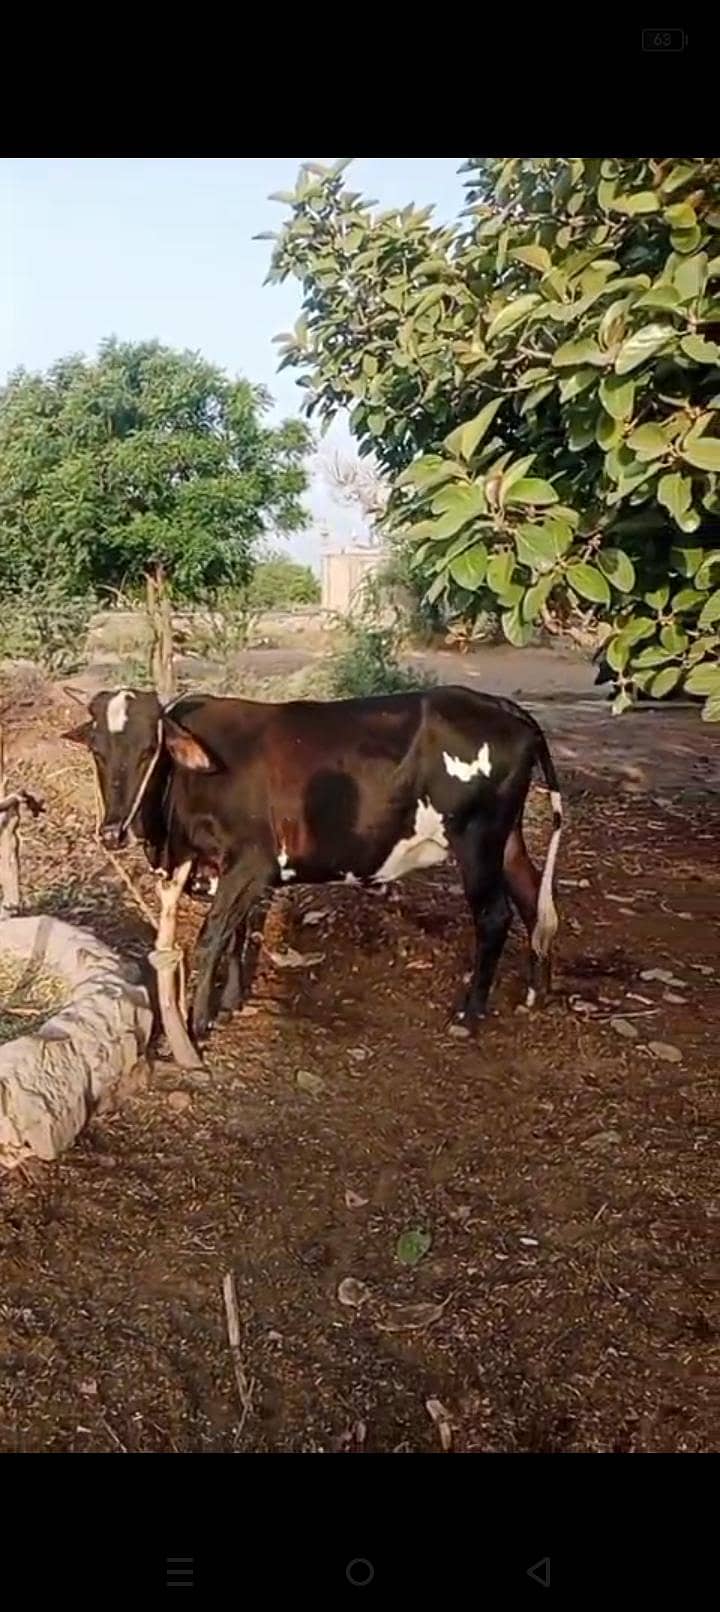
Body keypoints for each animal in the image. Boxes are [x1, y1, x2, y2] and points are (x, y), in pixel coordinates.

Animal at [63, 685, 563, 1044]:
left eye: (150, 750)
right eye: (96, 751)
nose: (112, 831)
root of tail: (501, 706)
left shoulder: (249, 861)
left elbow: (213, 937)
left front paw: (196, 1024)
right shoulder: (237, 871)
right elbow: (238, 932)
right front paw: (232, 1001)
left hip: (477, 839)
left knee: (494, 916)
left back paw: (469, 1014)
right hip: (507, 839)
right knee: (532, 900)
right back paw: (535, 993)